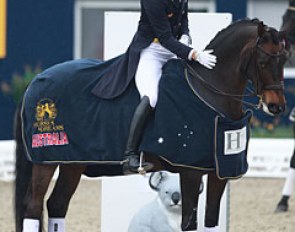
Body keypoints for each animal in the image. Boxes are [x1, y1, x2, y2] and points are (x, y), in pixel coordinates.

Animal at [15, 18, 288, 232]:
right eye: (263, 62)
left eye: (285, 59)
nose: (276, 107)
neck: (208, 90)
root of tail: (35, 81)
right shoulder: (190, 170)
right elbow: (188, 224)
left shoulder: (218, 171)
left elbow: (211, 221)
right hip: (45, 161)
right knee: (34, 206)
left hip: (72, 162)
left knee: (57, 204)